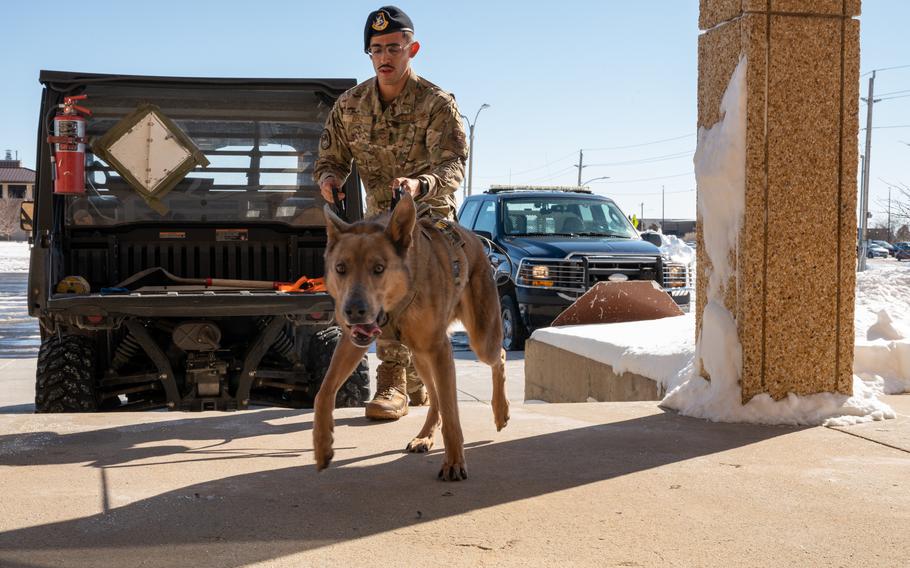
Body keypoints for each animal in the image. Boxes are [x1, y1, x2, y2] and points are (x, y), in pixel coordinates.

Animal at [318, 192, 510, 480]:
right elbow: (324, 390)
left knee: (500, 355)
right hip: (420, 356)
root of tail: (478, 239)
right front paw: (322, 446)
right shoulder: (351, 343)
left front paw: (454, 462)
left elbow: (452, 414)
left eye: (379, 268)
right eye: (340, 268)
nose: (353, 311)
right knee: (435, 397)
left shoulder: (442, 350)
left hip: (478, 341)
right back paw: (425, 436)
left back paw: (501, 411)